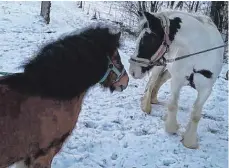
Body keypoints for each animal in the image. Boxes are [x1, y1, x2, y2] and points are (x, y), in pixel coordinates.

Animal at [128, 10, 225, 148]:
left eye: (148, 39)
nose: (132, 70)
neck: (199, 55)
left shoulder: (206, 89)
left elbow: (195, 114)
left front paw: (189, 141)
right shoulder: (177, 81)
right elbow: (173, 105)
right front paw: (173, 127)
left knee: (160, 80)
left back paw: (153, 99)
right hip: (159, 66)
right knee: (152, 82)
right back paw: (146, 105)